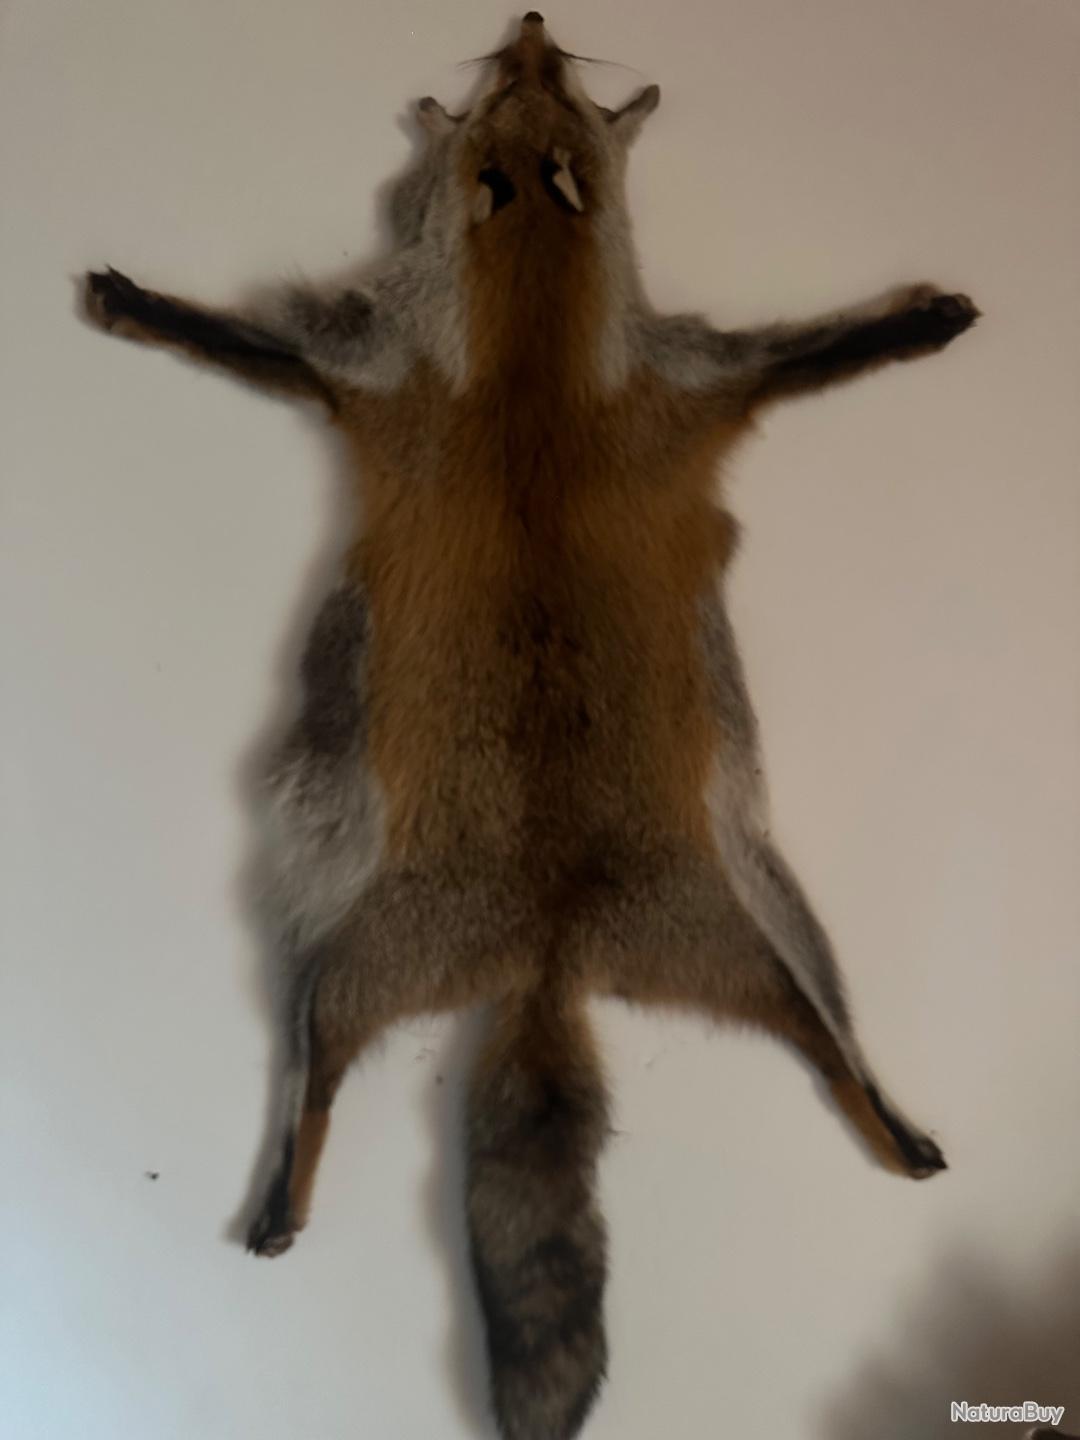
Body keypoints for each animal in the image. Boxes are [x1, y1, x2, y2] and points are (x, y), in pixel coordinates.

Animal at [84, 14, 978, 1440]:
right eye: (520, 87)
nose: (535, 25)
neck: (535, 366)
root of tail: (550, 942)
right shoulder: (507, 381)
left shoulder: (643, 380)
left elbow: (817, 349)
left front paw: (919, 322)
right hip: (467, 954)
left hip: (630, 944)